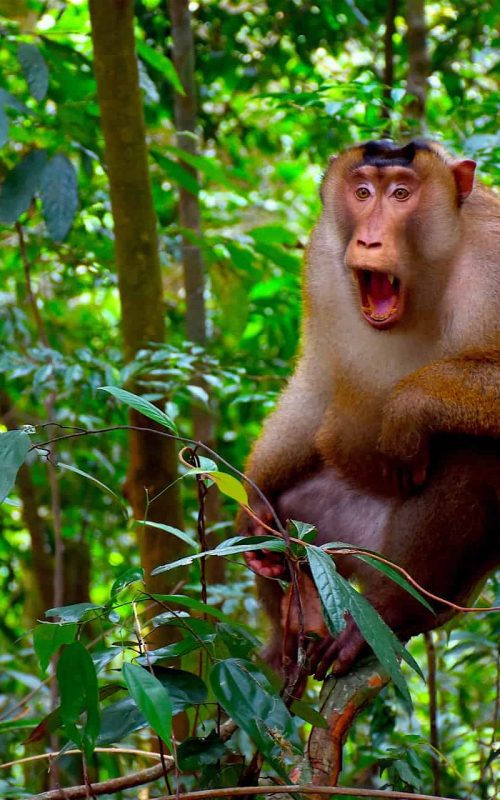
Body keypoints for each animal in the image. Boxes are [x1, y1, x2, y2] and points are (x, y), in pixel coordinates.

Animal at [241, 139, 500, 682]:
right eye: (362, 192)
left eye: (401, 193)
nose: (369, 240)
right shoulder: (322, 257)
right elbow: (318, 378)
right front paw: (253, 504)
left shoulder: (494, 255)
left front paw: (407, 410)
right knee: (295, 519)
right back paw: (293, 618)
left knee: (474, 452)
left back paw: (391, 611)